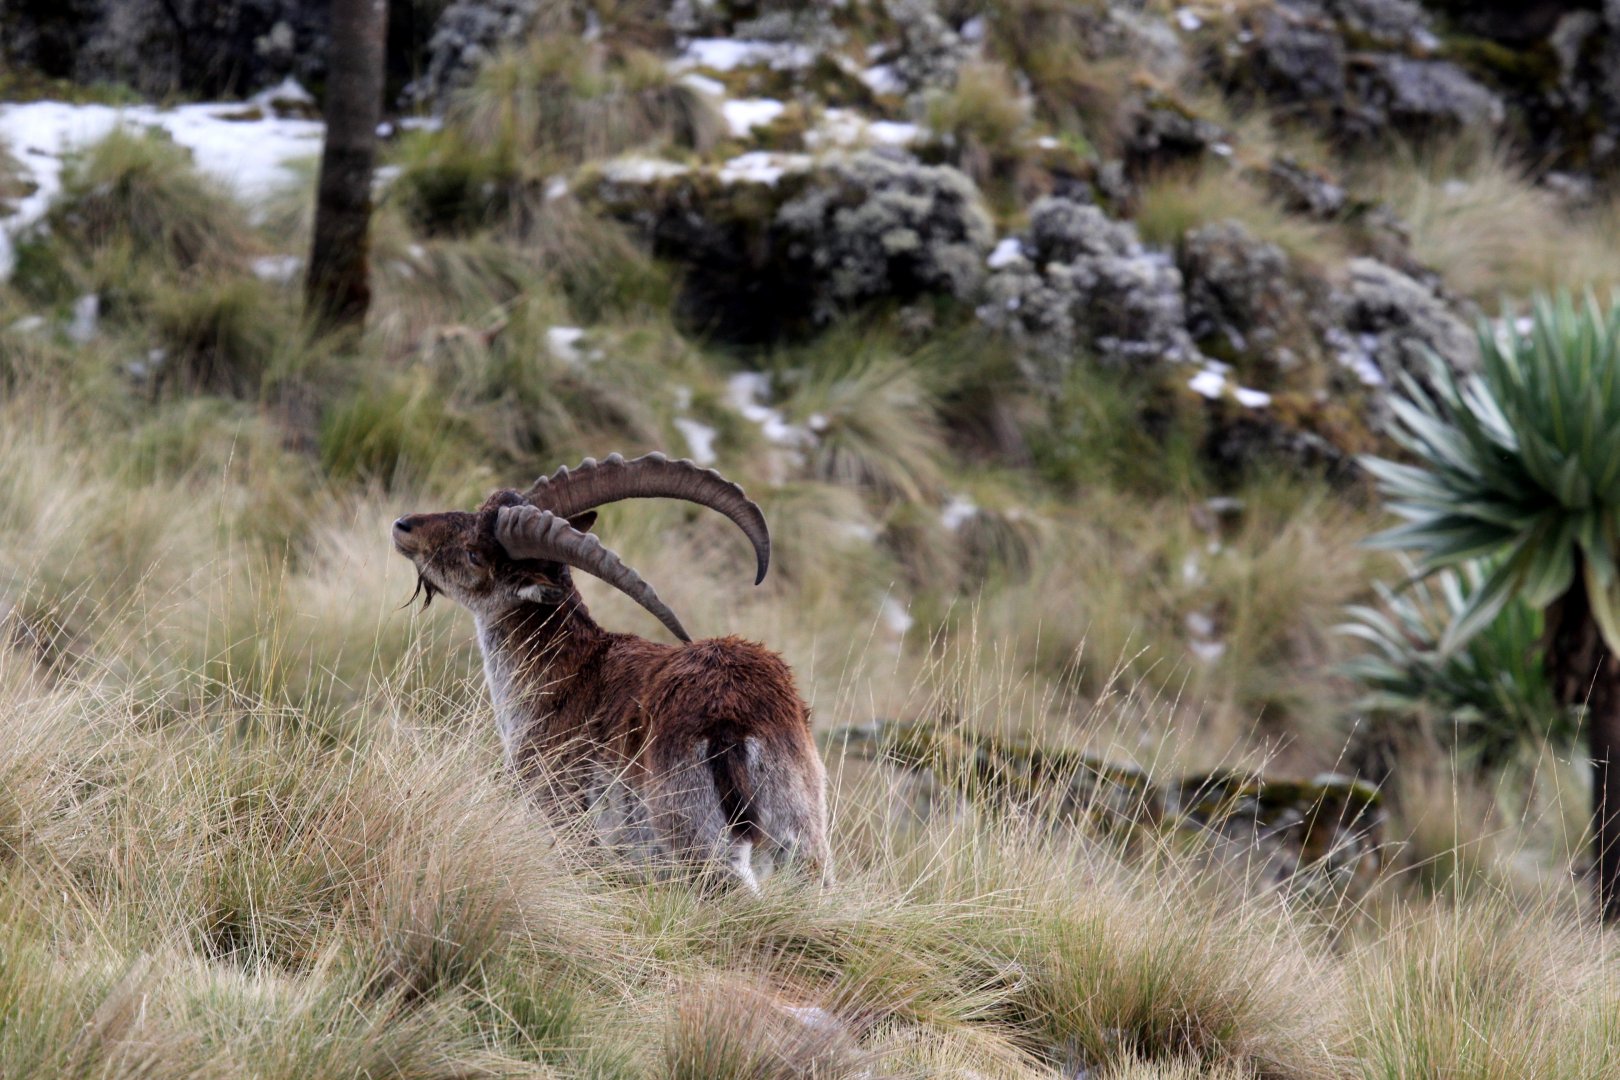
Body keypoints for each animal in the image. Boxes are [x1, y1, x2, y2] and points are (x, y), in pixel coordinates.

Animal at [391, 452, 831, 890]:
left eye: (475, 554)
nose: (404, 526)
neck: (567, 672)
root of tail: (733, 719)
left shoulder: (562, 819)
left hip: (695, 838)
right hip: (802, 833)